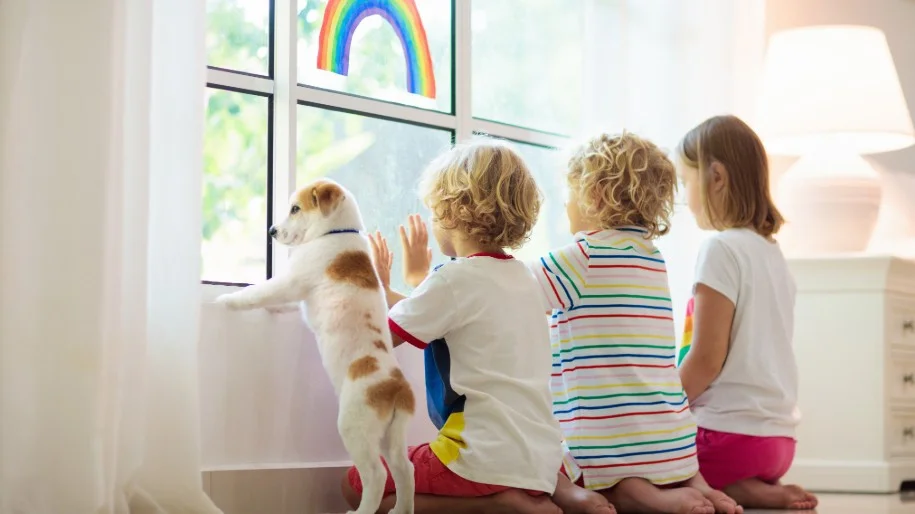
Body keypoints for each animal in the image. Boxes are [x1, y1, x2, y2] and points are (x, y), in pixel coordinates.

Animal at [215, 178, 416, 510]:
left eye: (295, 209)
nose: (271, 231)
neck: (336, 232)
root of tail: (397, 387)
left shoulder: (291, 281)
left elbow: (259, 293)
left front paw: (227, 301)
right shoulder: (297, 292)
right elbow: (283, 304)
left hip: (355, 428)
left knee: (376, 475)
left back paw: (359, 512)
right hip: (392, 436)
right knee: (404, 469)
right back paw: (400, 510)